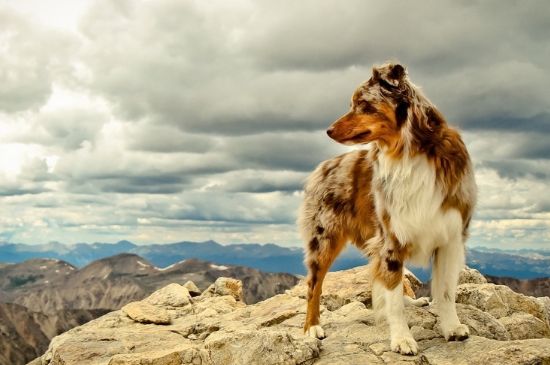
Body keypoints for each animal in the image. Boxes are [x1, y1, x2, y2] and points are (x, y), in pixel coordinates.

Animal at [300, 61, 476, 354]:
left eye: (363, 104)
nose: (328, 130)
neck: (410, 152)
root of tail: (323, 166)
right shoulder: (391, 238)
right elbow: (392, 299)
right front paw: (402, 339)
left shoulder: (450, 237)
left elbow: (446, 291)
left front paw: (452, 328)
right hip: (324, 238)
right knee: (314, 284)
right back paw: (311, 328)